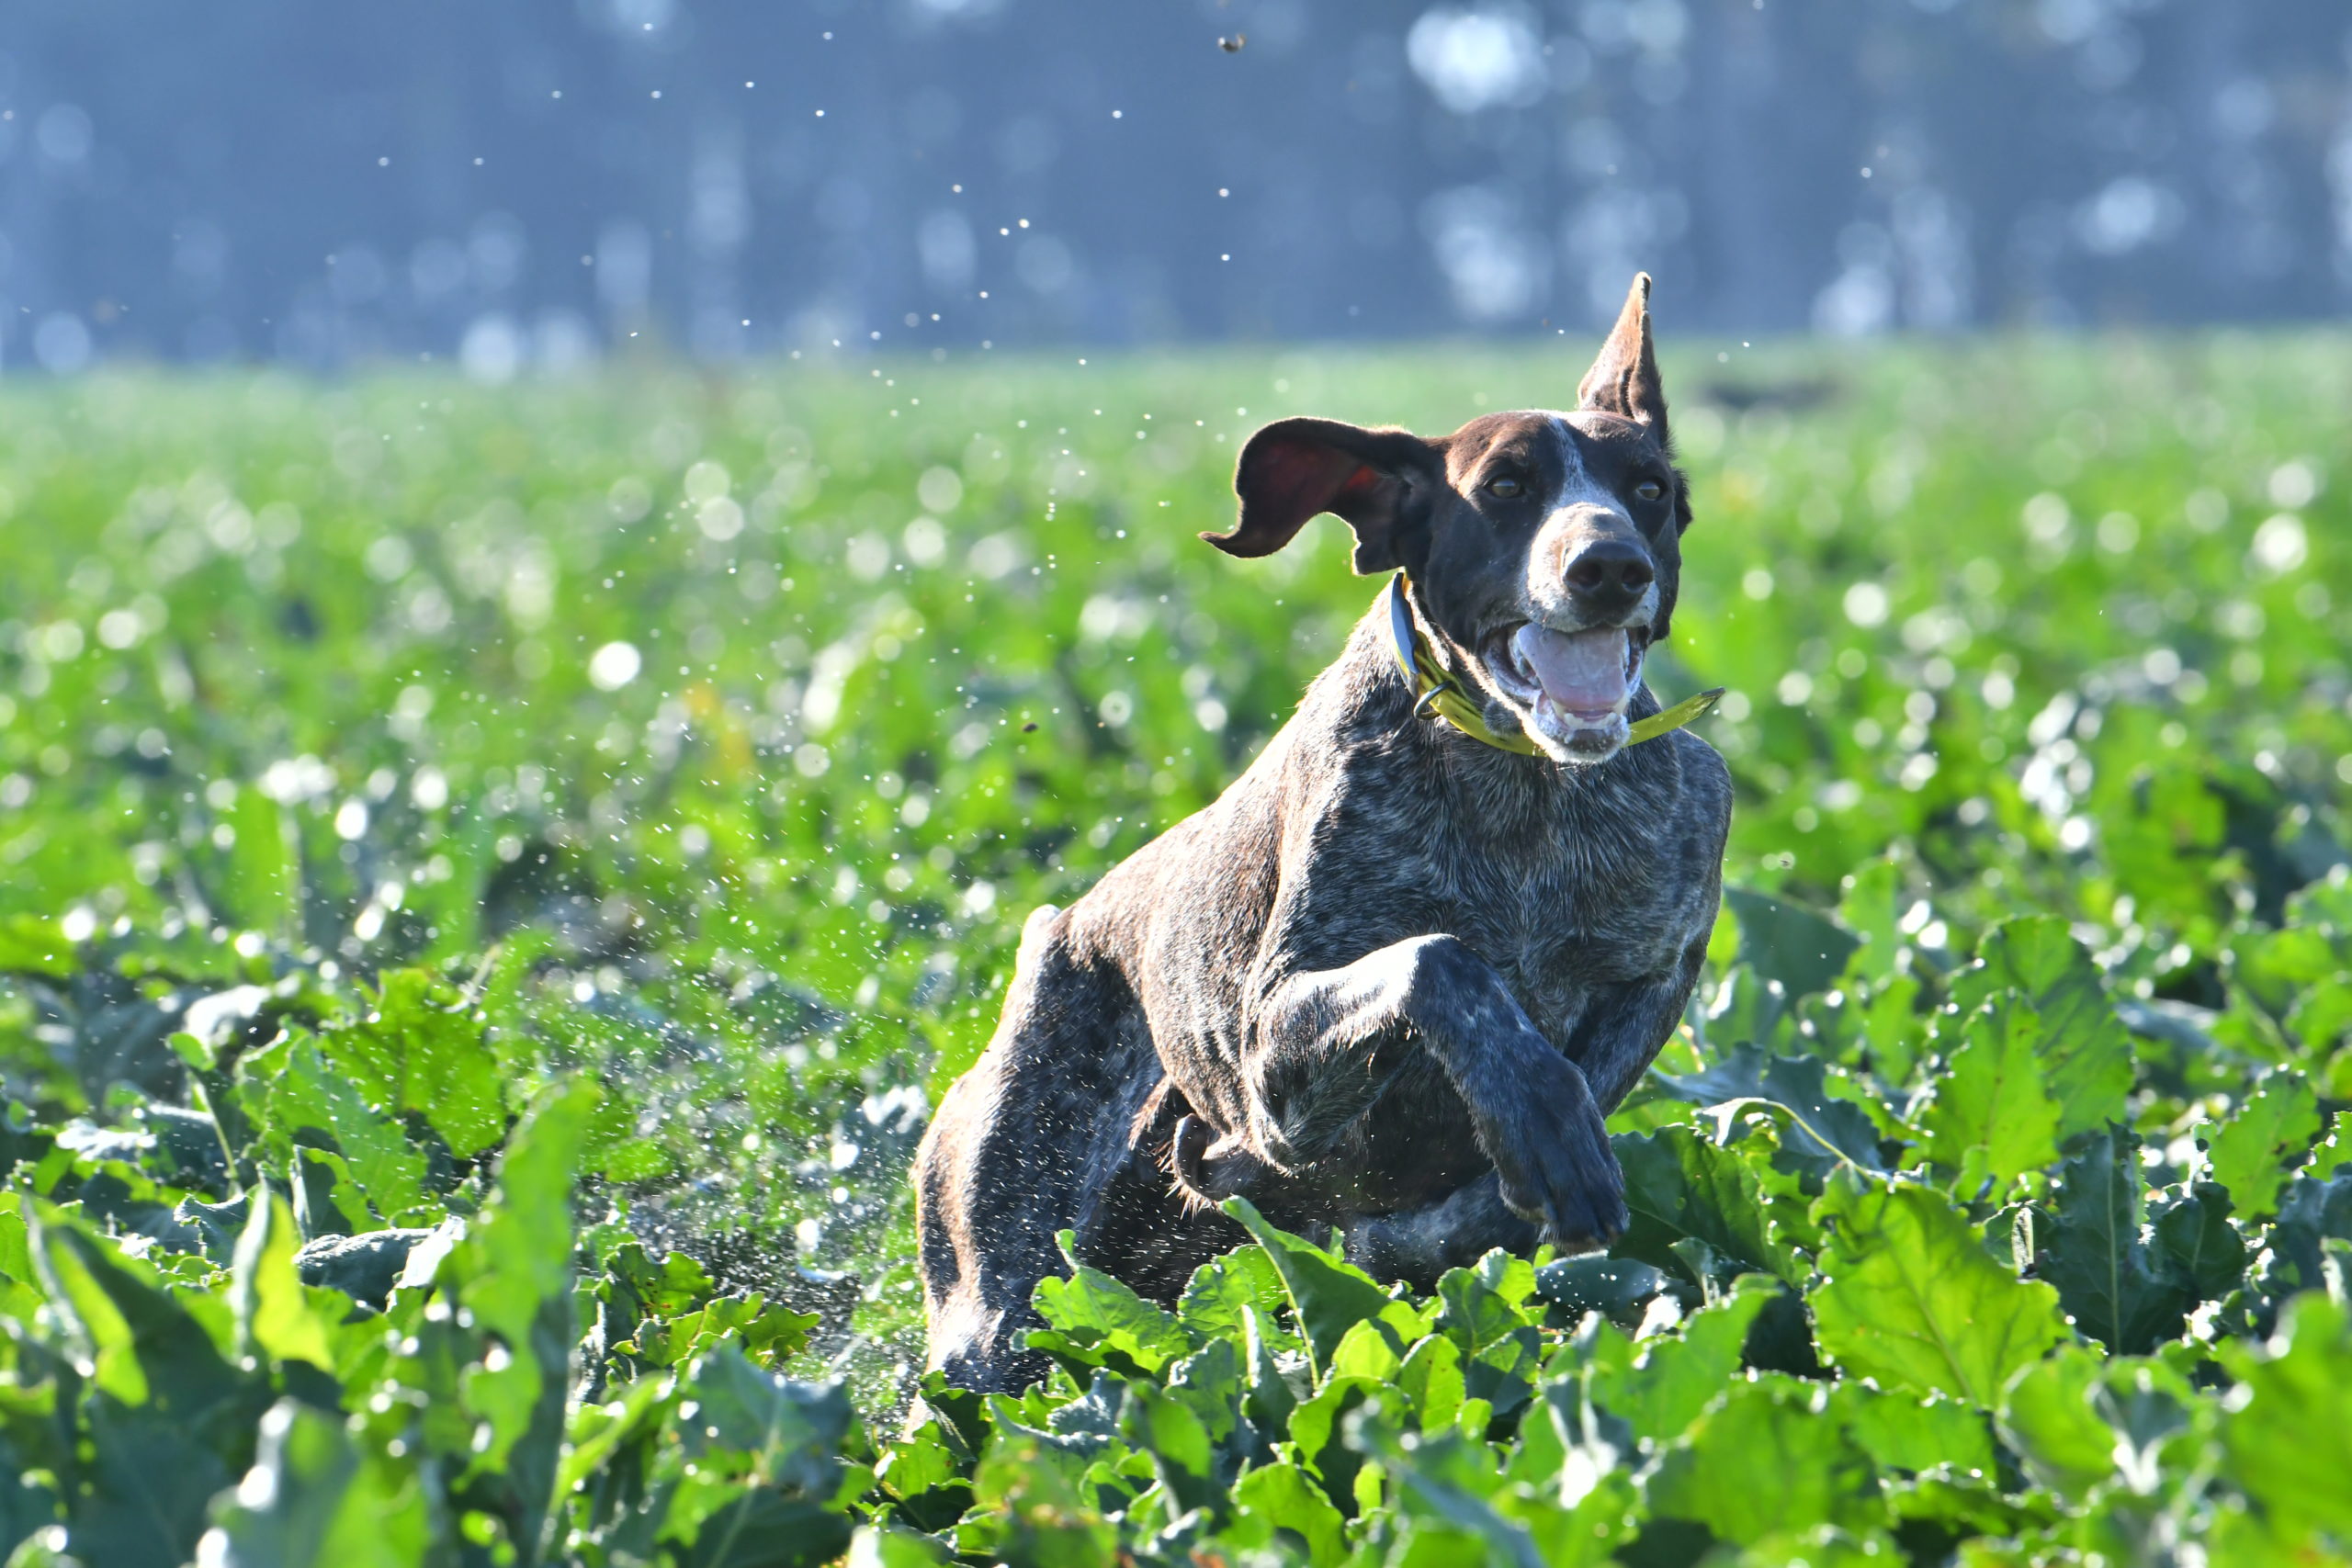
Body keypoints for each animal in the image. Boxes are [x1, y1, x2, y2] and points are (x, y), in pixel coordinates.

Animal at [912, 276, 1731, 1392]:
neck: (1527, 792)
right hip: (997, 1301)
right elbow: (1442, 966)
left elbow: (1519, 1148)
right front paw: (1537, 1116)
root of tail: (1056, 930)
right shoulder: (1274, 1065)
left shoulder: (1659, 968)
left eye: (1647, 489)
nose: (1609, 567)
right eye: (1506, 487)